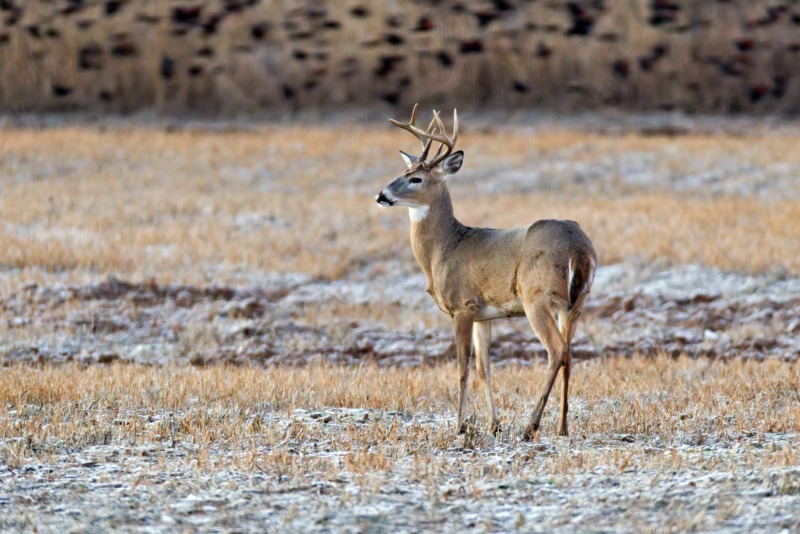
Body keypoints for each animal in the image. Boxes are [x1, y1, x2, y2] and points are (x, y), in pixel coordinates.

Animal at [376, 105, 592, 440]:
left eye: (416, 179)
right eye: (402, 173)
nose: (381, 196)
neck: (445, 249)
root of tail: (578, 248)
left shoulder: (462, 306)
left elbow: (462, 367)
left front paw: (460, 425)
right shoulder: (483, 313)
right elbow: (484, 367)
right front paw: (493, 424)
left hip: (537, 297)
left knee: (556, 350)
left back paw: (531, 426)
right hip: (575, 303)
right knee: (570, 352)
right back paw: (562, 428)